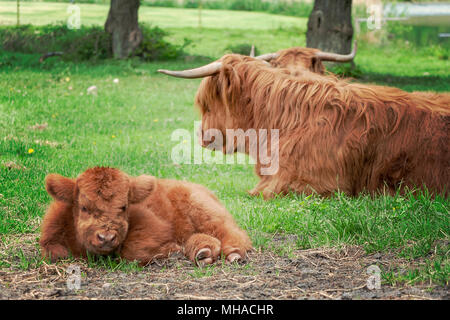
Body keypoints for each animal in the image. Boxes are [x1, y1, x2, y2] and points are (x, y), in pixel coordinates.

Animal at [40, 168, 253, 264]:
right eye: (84, 207)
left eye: (124, 207)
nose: (106, 237)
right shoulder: (50, 239)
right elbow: (56, 252)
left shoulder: (155, 227)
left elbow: (131, 250)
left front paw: (171, 248)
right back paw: (203, 251)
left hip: (204, 210)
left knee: (232, 232)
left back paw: (232, 252)